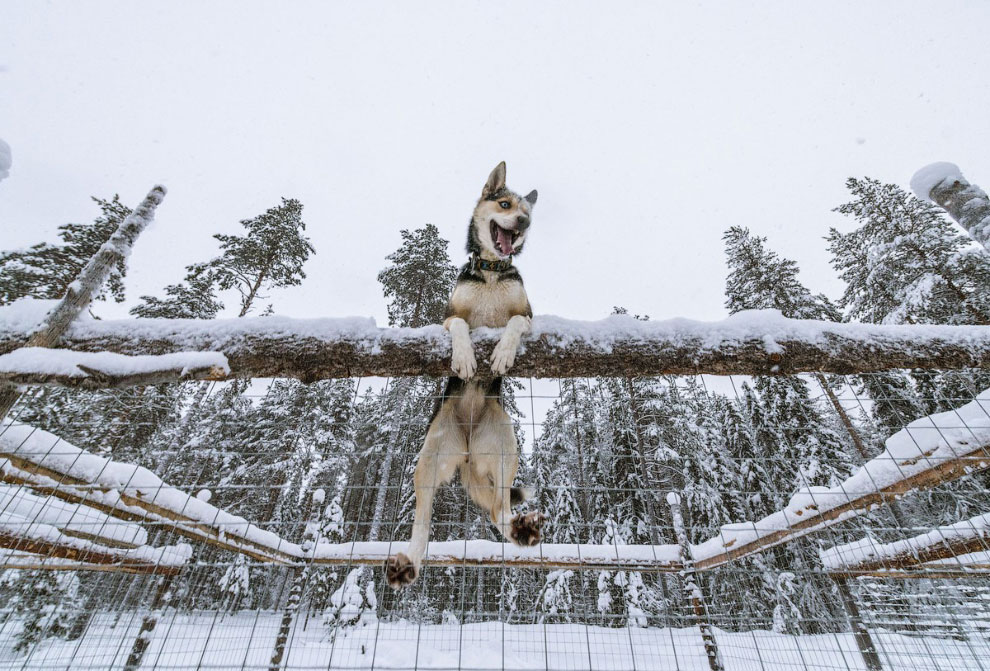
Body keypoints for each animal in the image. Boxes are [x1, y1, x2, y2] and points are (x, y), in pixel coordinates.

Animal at [388, 161, 548, 588]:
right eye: (505, 204)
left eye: (528, 211)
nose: (524, 222)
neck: (492, 272)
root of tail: (468, 449)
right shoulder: (447, 319)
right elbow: (460, 327)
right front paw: (463, 360)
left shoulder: (527, 317)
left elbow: (512, 324)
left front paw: (504, 354)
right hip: (429, 460)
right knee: (423, 523)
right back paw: (410, 560)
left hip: (505, 450)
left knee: (498, 509)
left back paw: (520, 529)